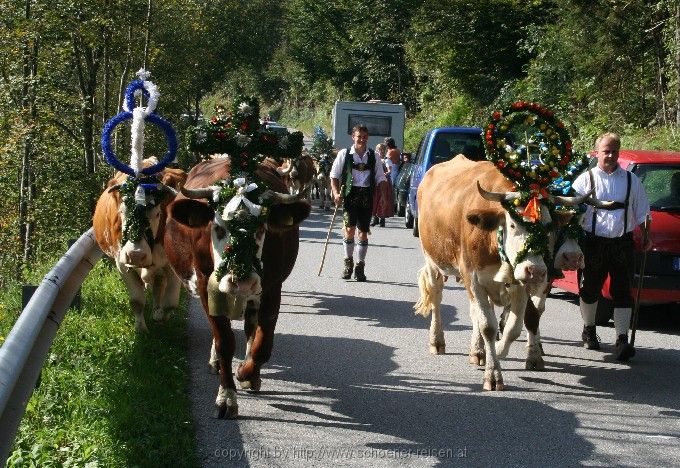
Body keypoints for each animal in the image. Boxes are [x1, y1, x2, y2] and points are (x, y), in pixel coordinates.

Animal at [91, 161, 186, 332]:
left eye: (157, 214)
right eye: (122, 212)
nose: (135, 255)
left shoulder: (173, 262)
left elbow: (171, 303)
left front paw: (161, 317)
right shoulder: (122, 264)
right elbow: (137, 300)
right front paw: (141, 329)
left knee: (159, 285)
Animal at [165, 155, 310, 418]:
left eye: (262, 227)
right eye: (218, 227)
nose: (240, 280)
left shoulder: (272, 287)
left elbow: (263, 344)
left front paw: (246, 372)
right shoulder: (205, 284)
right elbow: (224, 341)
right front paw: (226, 397)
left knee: (251, 328)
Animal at [412, 155, 592, 390]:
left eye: (548, 226)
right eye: (513, 225)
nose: (536, 270)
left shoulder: (520, 284)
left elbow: (514, 326)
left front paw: (498, 349)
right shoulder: (474, 280)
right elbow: (487, 326)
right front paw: (493, 374)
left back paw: (478, 351)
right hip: (433, 260)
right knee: (436, 297)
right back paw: (437, 340)